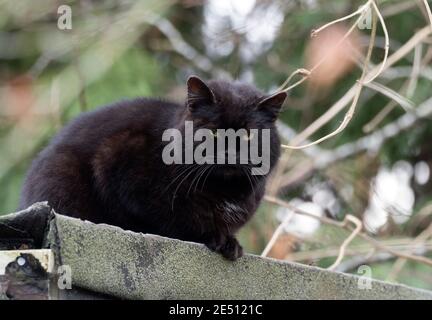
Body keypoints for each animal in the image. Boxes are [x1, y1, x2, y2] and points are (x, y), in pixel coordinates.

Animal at [18, 76, 286, 262]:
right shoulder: (120, 159)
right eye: (212, 131)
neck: (223, 190)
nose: (229, 152)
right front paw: (212, 236)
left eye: (248, 134)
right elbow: (170, 219)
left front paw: (230, 243)